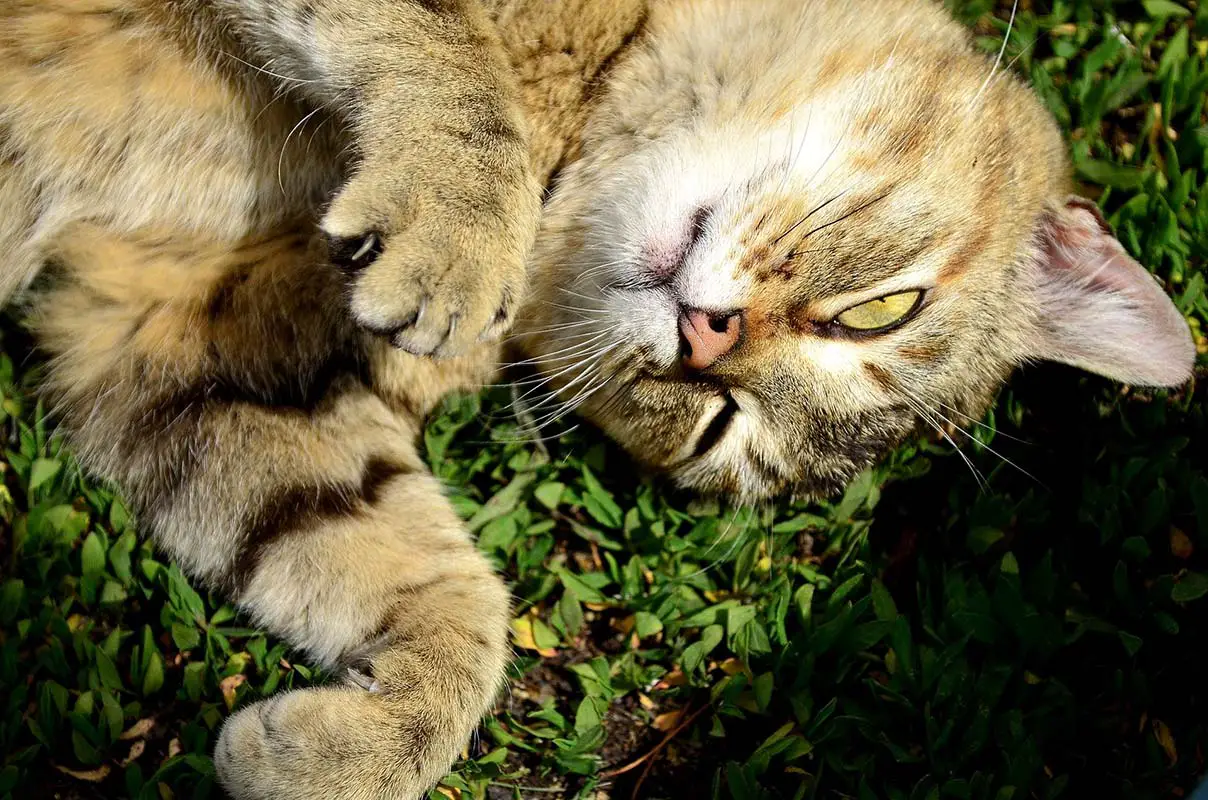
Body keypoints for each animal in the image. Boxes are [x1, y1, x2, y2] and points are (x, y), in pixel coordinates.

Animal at [0, 1, 1188, 800]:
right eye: (883, 310)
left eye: (715, 428)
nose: (703, 344)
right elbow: (452, 56)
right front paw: (461, 215)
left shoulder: (179, 338)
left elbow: (430, 583)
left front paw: (359, 747)